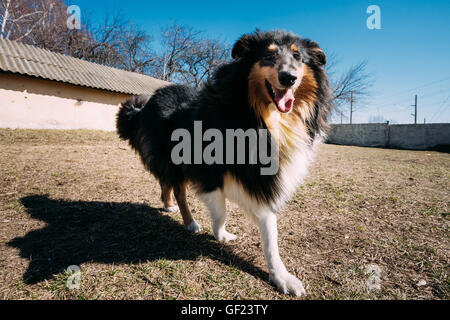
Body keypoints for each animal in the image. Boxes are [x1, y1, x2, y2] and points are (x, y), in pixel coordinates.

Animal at [116, 29, 334, 296]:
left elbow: (270, 232)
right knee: (177, 189)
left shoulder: (262, 182)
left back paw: (168, 206)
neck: (260, 118)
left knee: (165, 184)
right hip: (173, 159)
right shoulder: (210, 174)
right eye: (268, 56)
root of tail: (146, 103)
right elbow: (221, 212)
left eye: (298, 57)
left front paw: (282, 277)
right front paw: (220, 235)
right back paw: (189, 221)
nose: (289, 78)